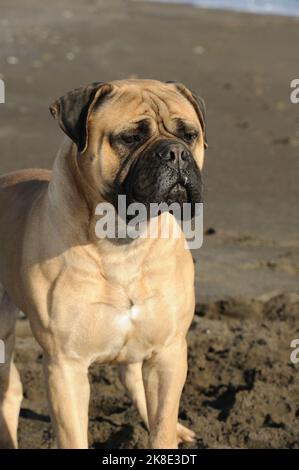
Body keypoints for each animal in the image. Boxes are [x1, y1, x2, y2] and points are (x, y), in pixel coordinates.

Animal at [0, 79, 206, 450]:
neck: (123, 243)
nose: (175, 153)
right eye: (131, 137)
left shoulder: (168, 353)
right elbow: (72, 435)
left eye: (189, 135)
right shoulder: (65, 367)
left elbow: (162, 424)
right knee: (10, 390)